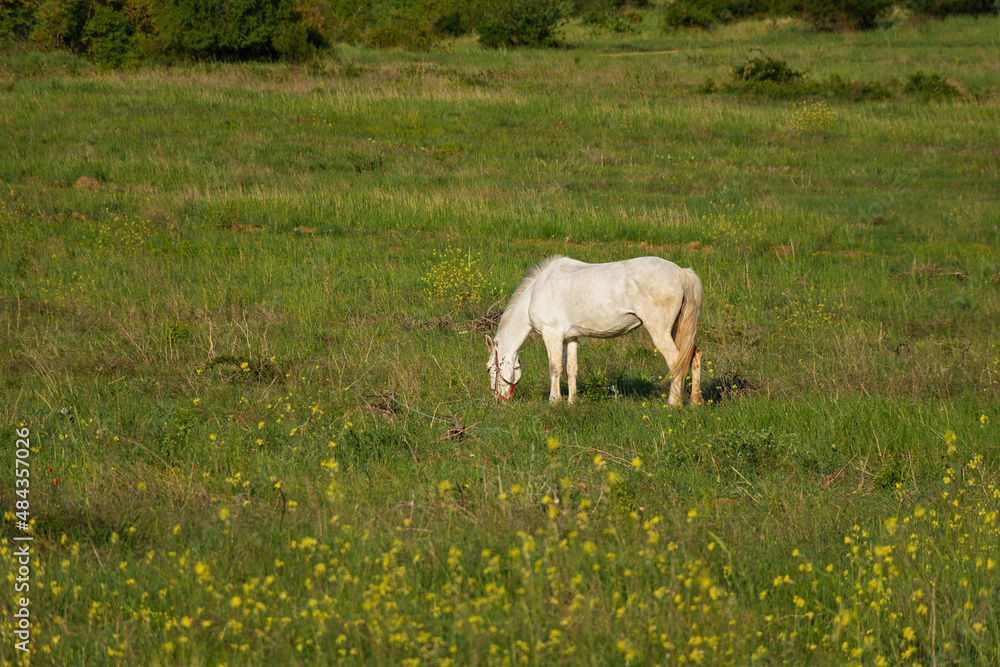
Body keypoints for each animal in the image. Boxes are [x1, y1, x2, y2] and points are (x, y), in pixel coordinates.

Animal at [486, 255, 703, 405]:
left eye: (489, 368)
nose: (496, 399)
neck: (535, 292)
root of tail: (681, 272)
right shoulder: (570, 338)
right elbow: (571, 369)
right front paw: (572, 401)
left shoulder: (552, 334)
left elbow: (555, 368)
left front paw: (554, 401)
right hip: (676, 330)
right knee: (693, 356)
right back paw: (695, 401)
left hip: (660, 332)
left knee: (676, 363)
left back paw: (674, 402)